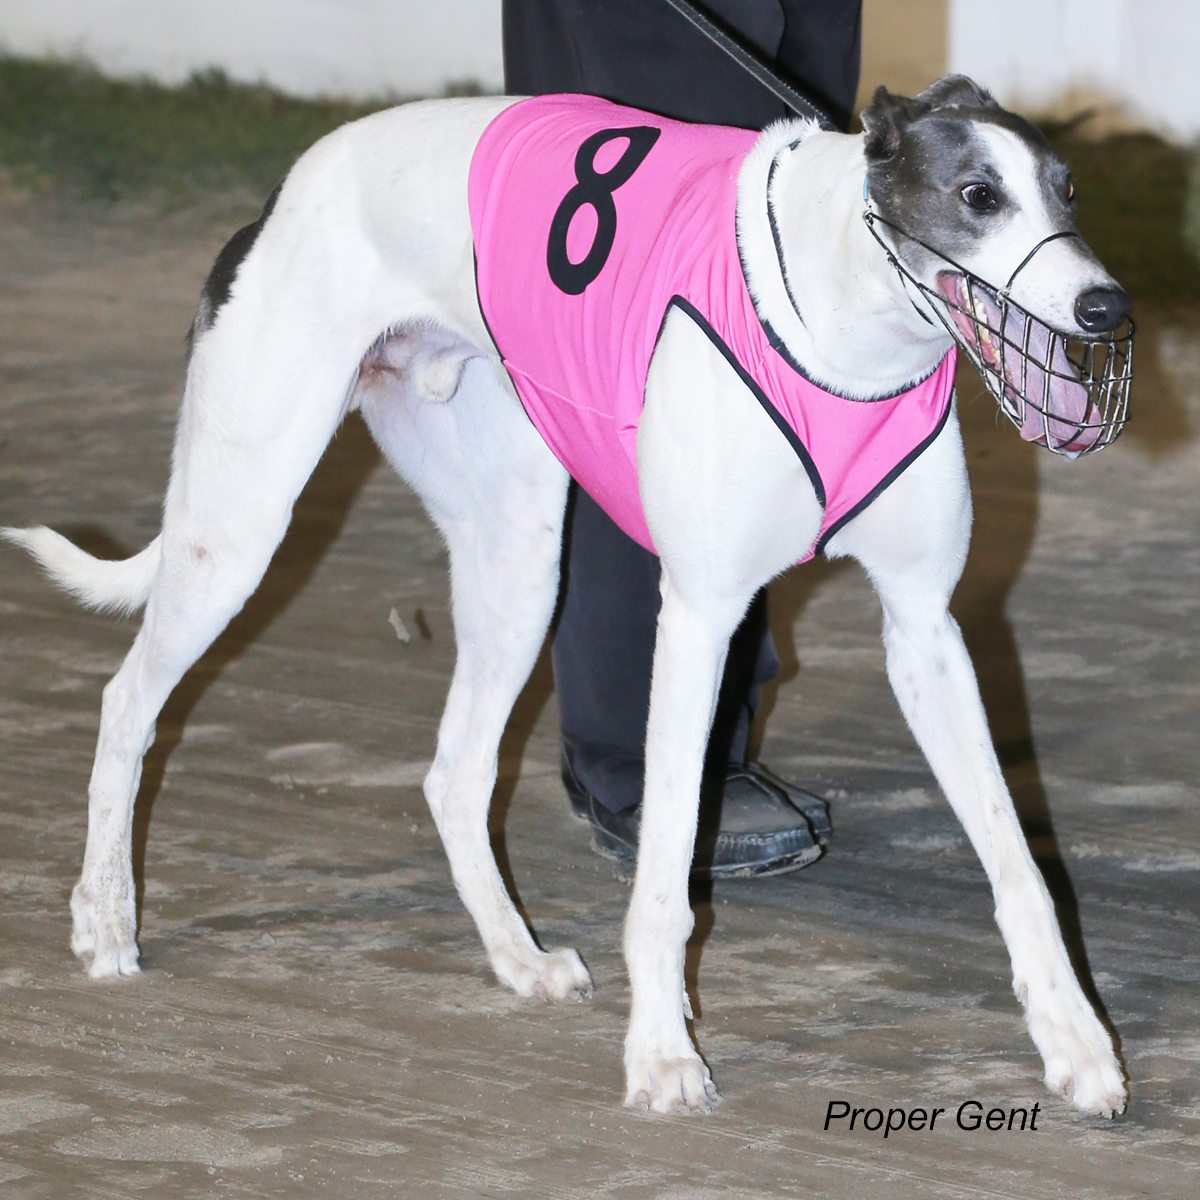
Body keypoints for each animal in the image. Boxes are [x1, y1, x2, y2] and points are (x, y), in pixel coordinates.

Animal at [3, 76, 1131, 1117]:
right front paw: (664, 1055)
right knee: (128, 702)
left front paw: (1077, 1043)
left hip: (516, 560)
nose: (1106, 308)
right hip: (236, 527)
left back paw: (517, 958)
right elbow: (667, 875)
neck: (838, 323)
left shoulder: (925, 629)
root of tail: (283, 193)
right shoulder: (699, 619)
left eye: (1070, 190)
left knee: (455, 773)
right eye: (978, 195)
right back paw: (105, 921)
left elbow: (1019, 865)